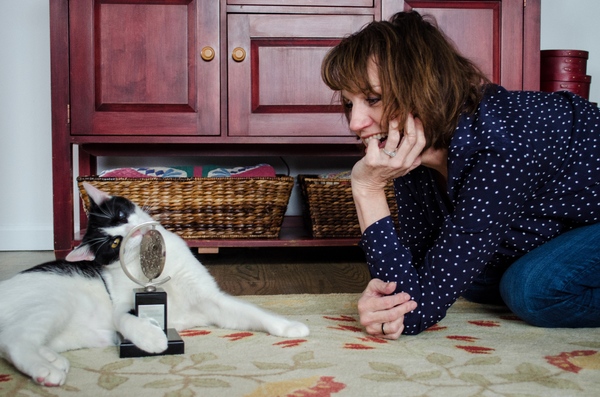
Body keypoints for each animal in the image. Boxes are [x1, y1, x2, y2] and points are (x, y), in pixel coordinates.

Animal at [0, 184, 310, 386]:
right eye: (114, 242)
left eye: (120, 217)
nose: (132, 231)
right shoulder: (122, 304)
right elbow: (124, 319)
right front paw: (152, 338)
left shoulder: (213, 300)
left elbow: (254, 313)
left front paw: (290, 327)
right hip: (50, 305)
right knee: (16, 341)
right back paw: (46, 372)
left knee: (11, 344)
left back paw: (53, 361)